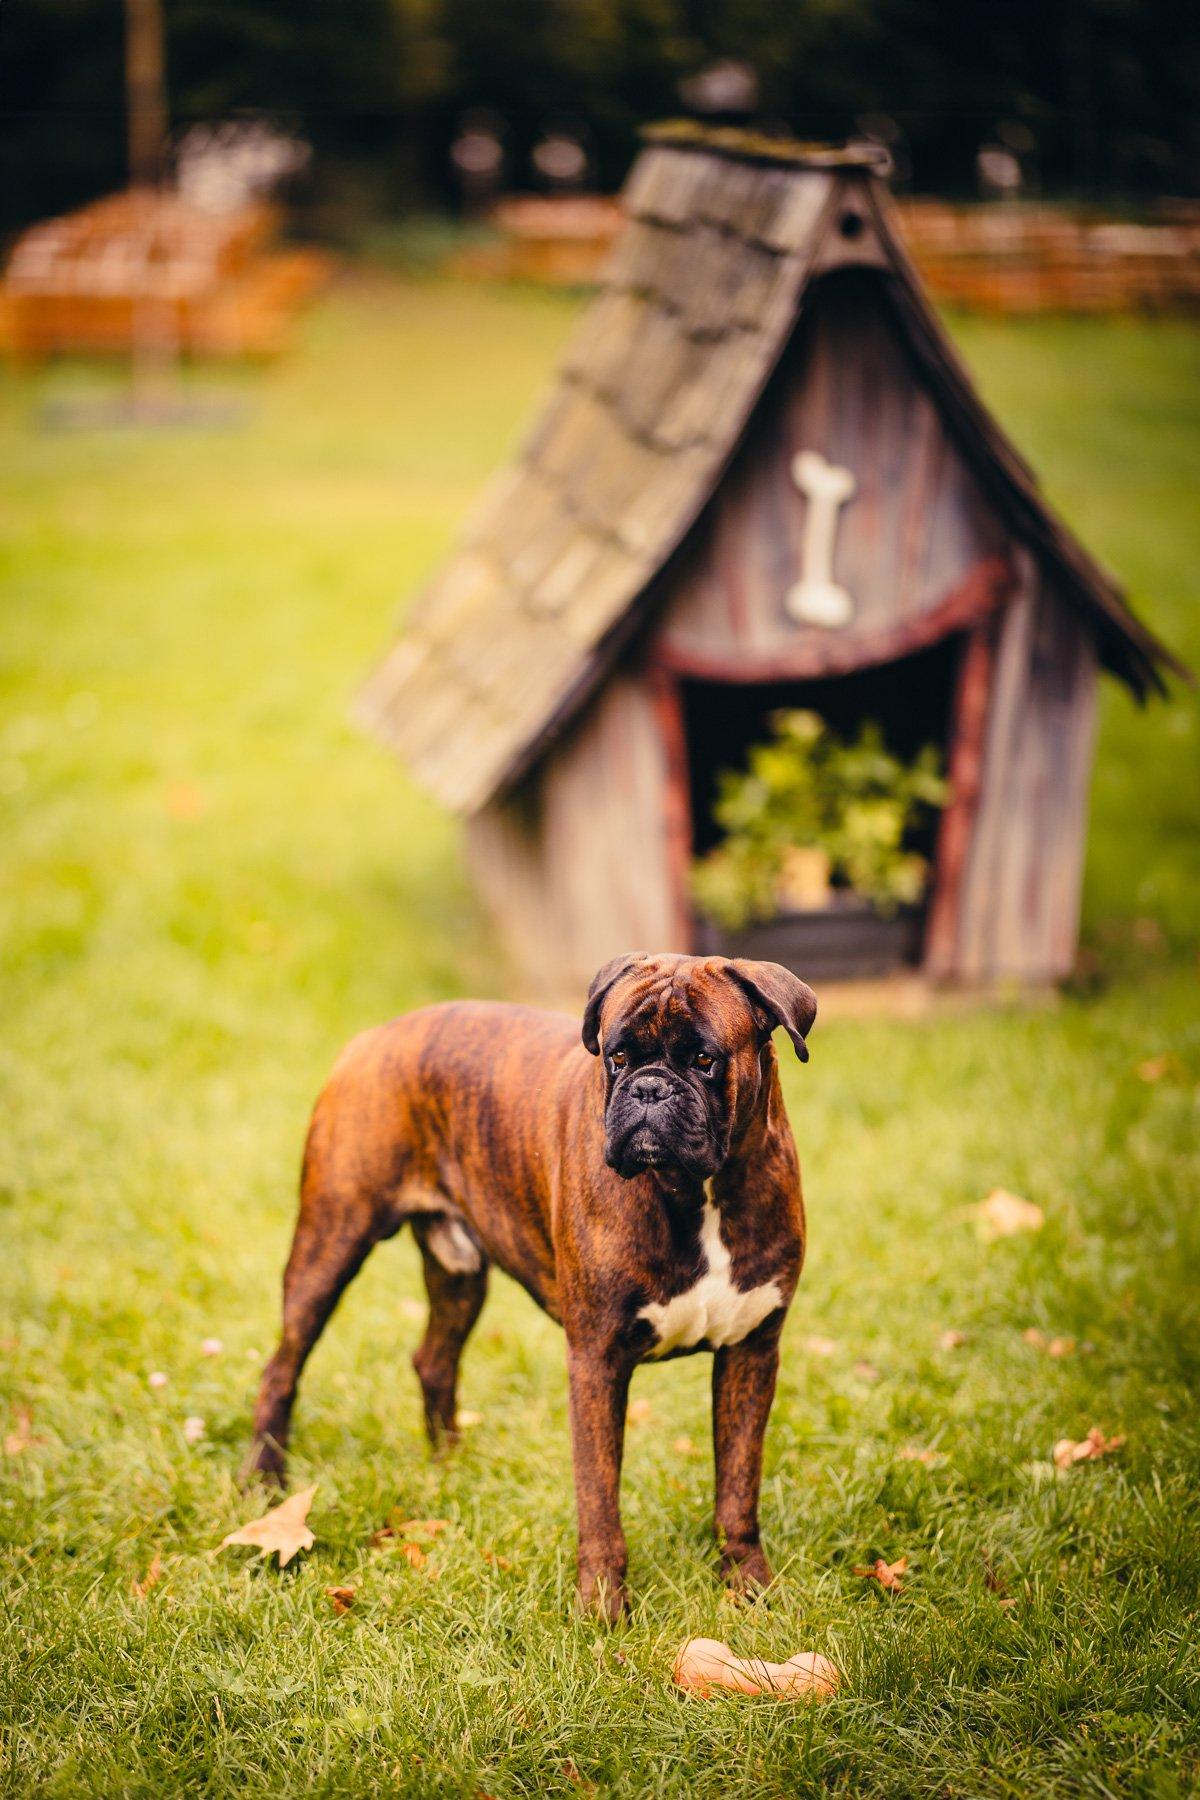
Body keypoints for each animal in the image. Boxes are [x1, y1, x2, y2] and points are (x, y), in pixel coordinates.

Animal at [248, 957, 813, 1620]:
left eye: (705, 1059)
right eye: (617, 1056)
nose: (648, 1089)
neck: (695, 1194)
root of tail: (374, 1037)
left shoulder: (751, 1351)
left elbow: (737, 1489)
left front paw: (750, 1588)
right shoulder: (596, 1360)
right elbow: (599, 1499)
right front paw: (602, 1609)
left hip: (458, 1273)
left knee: (434, 1360)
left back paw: (450, 1467)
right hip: (330, 1244)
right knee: (282, 1367)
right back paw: (264, 1486)